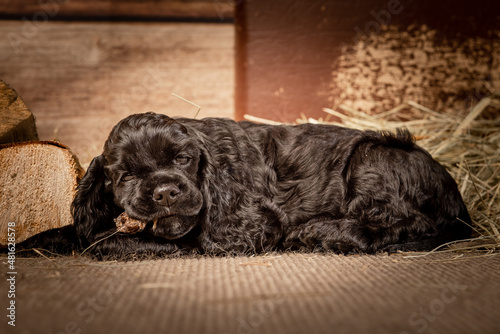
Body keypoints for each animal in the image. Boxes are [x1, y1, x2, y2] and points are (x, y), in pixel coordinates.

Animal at [20, 113, 472, 258]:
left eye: (182, 159)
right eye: (125, 175)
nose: (165, 192)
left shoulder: (247, 227)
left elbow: (107, 240)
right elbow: (77, 230)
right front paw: (28, 243)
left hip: (371, 159)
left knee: (393, 226)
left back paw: (317, 233)